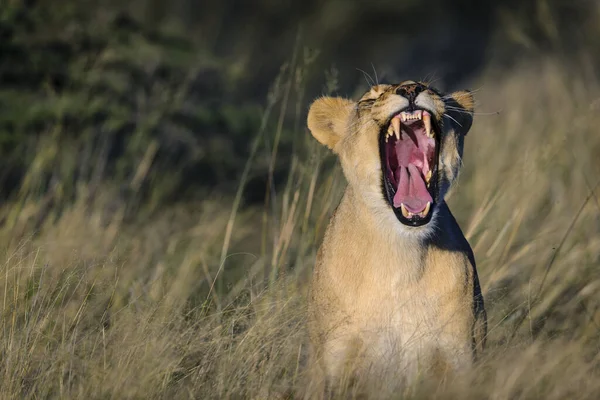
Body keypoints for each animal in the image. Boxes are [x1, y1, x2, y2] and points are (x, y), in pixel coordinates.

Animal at [304, 80, 488, 396]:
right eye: (369, 100)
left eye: (433, 89)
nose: (412, 88)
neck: (399, 254)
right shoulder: (332, 363)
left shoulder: (461, 354)